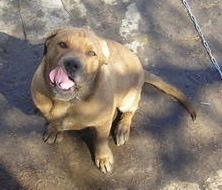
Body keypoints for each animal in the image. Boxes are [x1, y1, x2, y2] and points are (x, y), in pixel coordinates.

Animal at [31, 27, 196, 174]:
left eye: (91, 53)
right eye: (62, 44)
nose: (72, 64)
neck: (69, 103)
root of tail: (142, 69)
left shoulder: (103, 122)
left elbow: (101, 140)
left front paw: (103, 158)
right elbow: (54, 121)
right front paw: (54, 129)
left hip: (128, 99)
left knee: (131, 111)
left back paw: (122, 129)